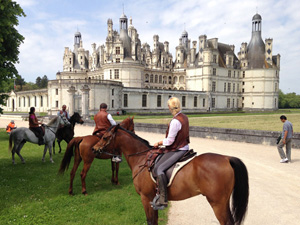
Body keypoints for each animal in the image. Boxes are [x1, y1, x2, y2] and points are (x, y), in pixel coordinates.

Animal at [92, 125, 250, 225]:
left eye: (105, 137)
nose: (94, 149)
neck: (141, 158)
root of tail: (226, 158)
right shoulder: (152, 200)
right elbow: (154, 221)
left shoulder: (145, 198)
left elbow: (150, 221)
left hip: (217, 203)